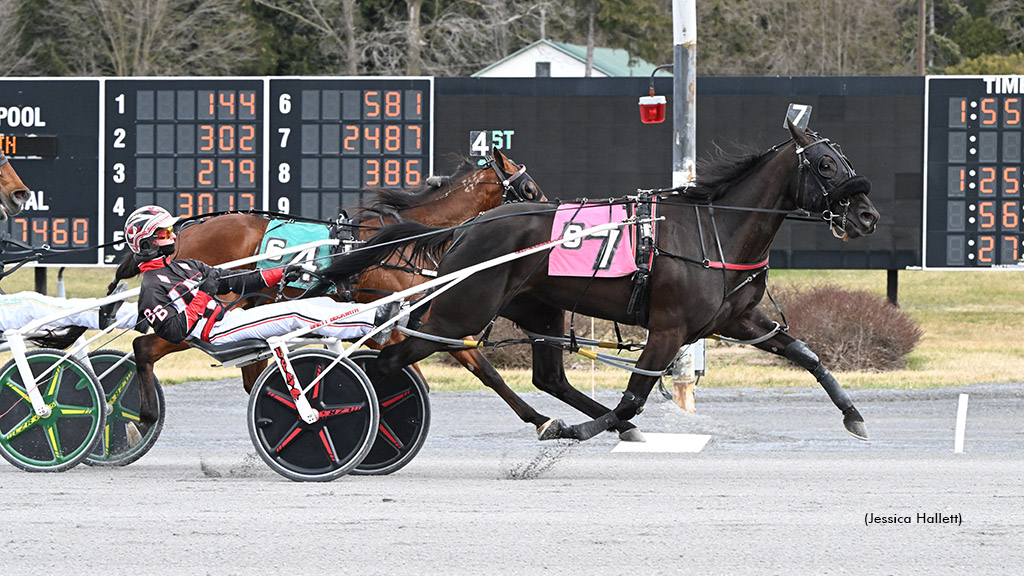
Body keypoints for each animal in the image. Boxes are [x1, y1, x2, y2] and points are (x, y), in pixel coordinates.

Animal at [108, 147, 544, 434]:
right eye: (529, 190)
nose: (547, 211)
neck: (401, 244)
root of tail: (181, 233)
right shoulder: (409, 326)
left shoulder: (424, 323)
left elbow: (483, 370)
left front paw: (541, 420)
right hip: (203, 316)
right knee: (144, 348)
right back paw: (144, 418)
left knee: (248, 376)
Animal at [313, 120, 880, 438]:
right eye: (825, 165)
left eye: (844, 158)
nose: (867, 216)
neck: (716, 229)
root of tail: (467, 226)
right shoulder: (669, 328)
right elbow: (634, 393)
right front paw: (588, 430)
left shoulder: (737, 319)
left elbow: (807, 354)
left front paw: (854, 416)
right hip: (460, 311)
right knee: (395, 359)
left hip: (535, 310)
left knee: (547, 377)